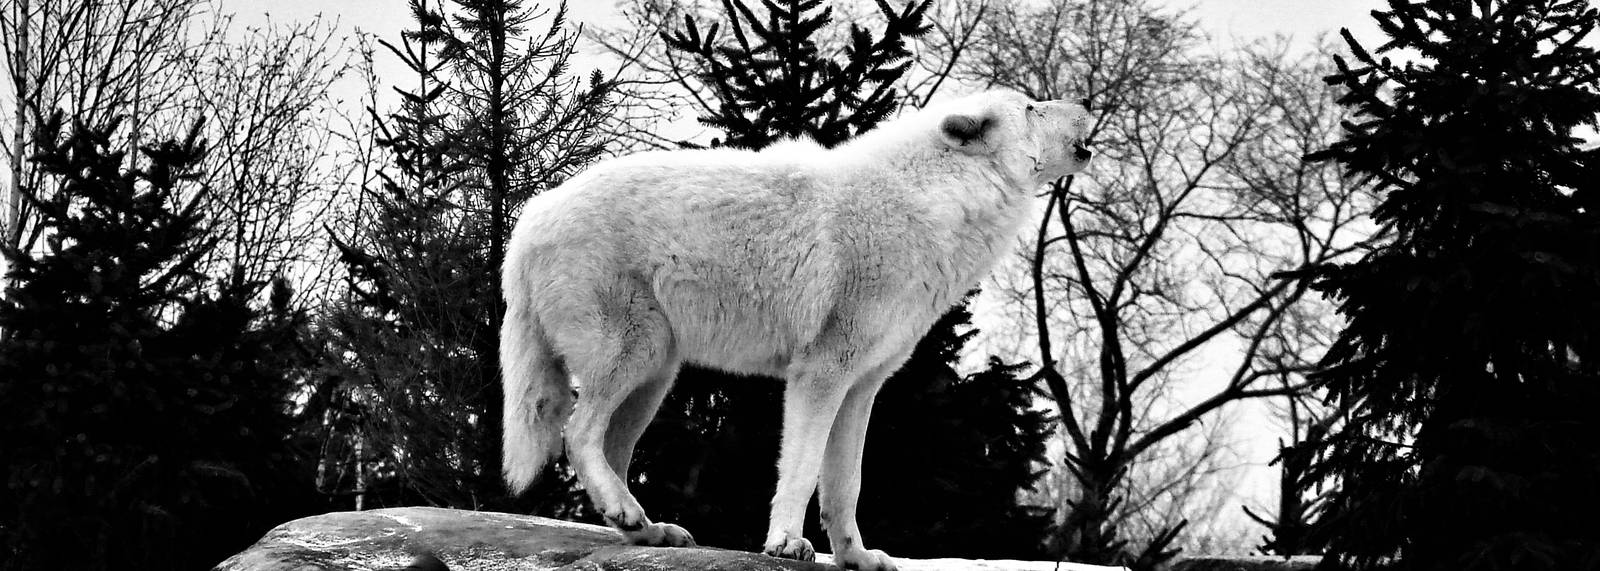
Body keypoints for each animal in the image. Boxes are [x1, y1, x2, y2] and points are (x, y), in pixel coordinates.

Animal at [499, 90, 1094, 571]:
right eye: (1032, 107)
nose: (1085, 105)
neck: (936, 200)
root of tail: (529, 221)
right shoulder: (821, 373)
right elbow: (803, 470)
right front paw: (786, 543)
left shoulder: (863, 386)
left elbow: (846, 484)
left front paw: (856, 557)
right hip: (636, 354)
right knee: (578, 434)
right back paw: (629, 513)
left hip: (655, 376)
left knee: (610, 451)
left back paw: (644, 528)